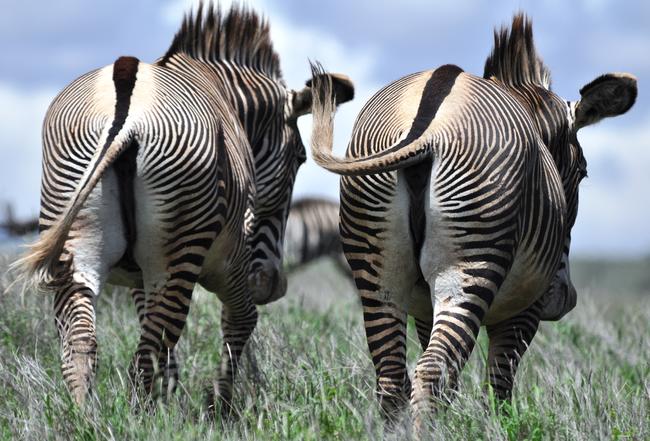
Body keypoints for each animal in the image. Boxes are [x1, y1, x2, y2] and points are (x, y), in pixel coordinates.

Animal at [17, 4, 352, 416]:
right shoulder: (232, 257)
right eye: (300, 158)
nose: (273, 285)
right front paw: (218, 408)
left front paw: (173, 398)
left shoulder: (140, 276)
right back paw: (141, 421)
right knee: (145, 353)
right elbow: (241, 319)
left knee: (83, 344)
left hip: (74, 228)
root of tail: (127, 105)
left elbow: (162, 341)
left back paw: (88, 419)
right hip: (181, 246)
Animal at [306, 14, 636, 426]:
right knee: (432, 370)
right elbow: (500, 386)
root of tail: (427, 125)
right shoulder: (524, 307)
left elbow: (450, 384)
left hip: (376, 262)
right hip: (471, 262)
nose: (564, 299)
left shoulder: (424, 307)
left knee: (393, 377)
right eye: (583, 172)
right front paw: (503, 428)